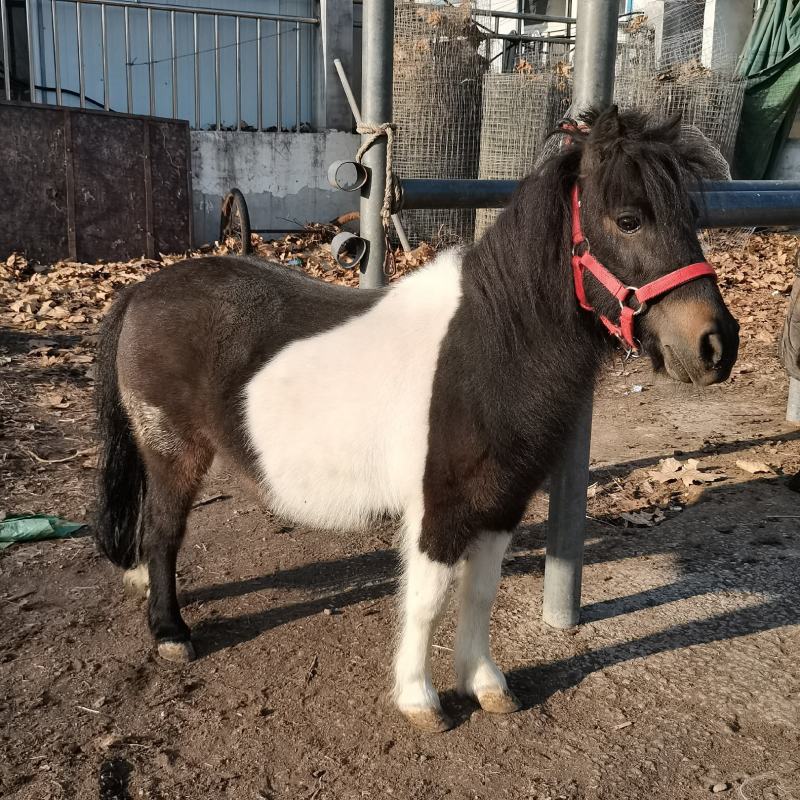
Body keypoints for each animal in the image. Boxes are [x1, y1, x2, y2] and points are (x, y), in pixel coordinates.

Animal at [93, 108, 739, 732]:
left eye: (690, 218)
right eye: (628, 219)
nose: (716, 345)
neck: (489, 344)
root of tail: (142, 291)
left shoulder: (501, 503)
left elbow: (481, 594)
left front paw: (485, 685)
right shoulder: (440, 505)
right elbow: (426, 599)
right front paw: (419, 699)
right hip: (172, 449)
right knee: (163, 532)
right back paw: (170, 632)